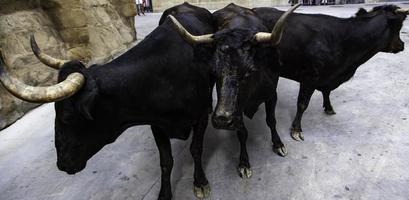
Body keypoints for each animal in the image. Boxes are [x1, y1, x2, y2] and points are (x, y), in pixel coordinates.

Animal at [0, 3, 215, 200]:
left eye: (67, 117)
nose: (61, 164)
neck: (164, 77)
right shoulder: (157, 124)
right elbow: (166, 161)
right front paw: (164, 194)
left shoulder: (200, 116)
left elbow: (196, 149)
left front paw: (200, 182)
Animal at [253, 5, 406, 142]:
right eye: (398, 27)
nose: (402, 45)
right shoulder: (309, 78)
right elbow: (302, 104)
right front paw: (296, 129)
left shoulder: (327, 77)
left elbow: (327, 92)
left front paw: (329, 107)